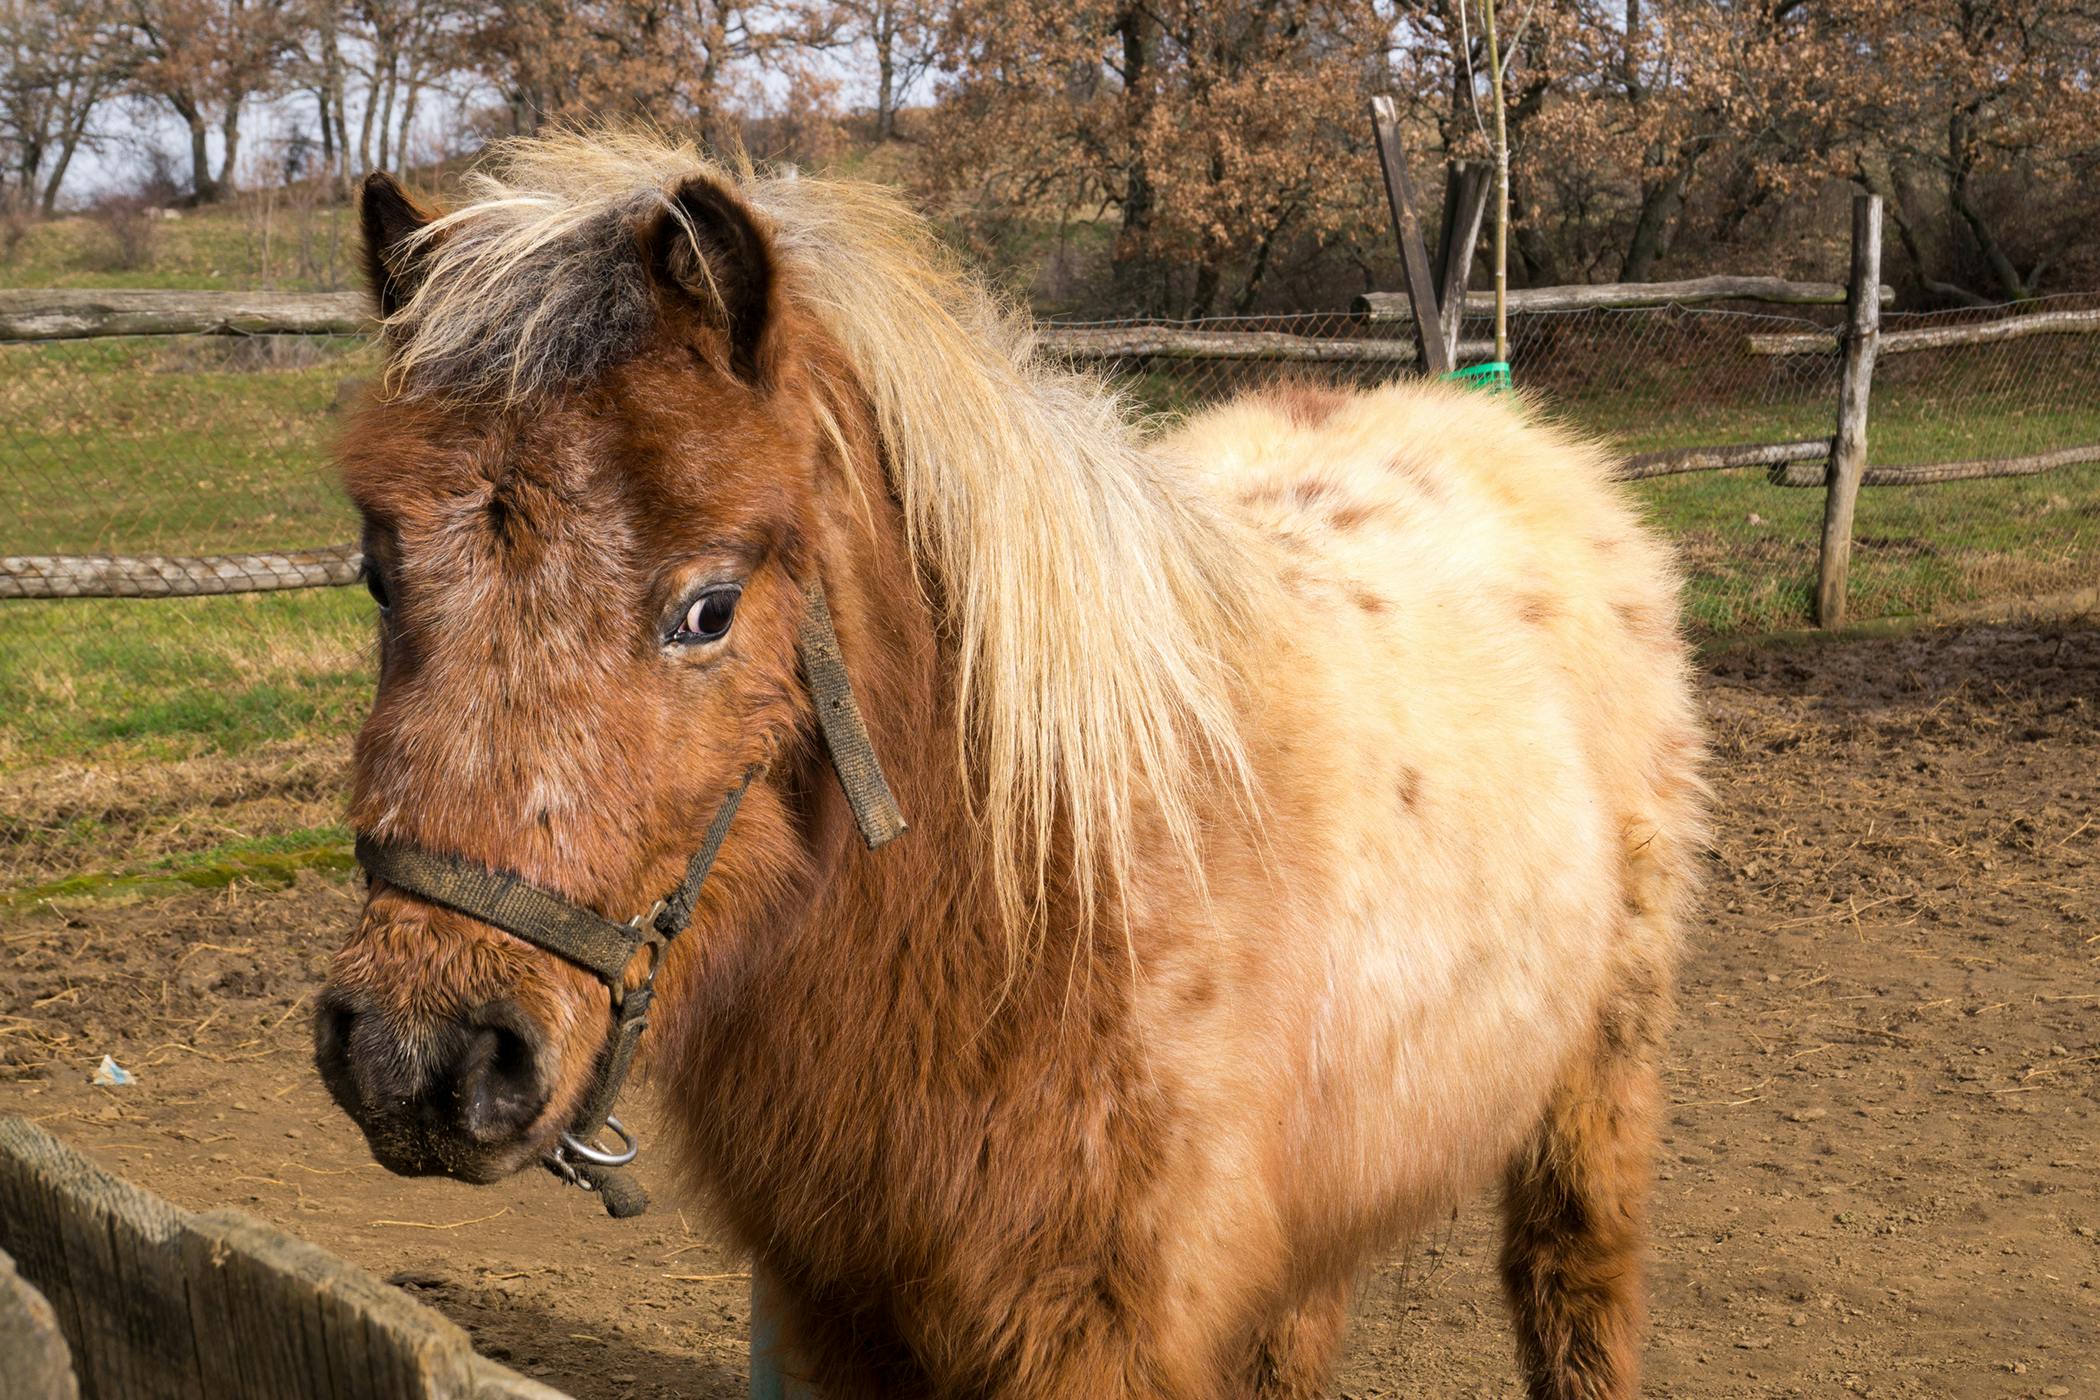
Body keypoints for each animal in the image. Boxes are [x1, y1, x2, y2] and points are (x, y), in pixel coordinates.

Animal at [319, 131, 1713, 1400]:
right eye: (380, 573)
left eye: (708, 607)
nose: (416, 1057)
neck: (1035, 894)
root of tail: (1504, 431)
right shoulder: (840, 1313)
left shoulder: (1093, 1331)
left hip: (1593, 1094)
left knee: (1573, 1289)